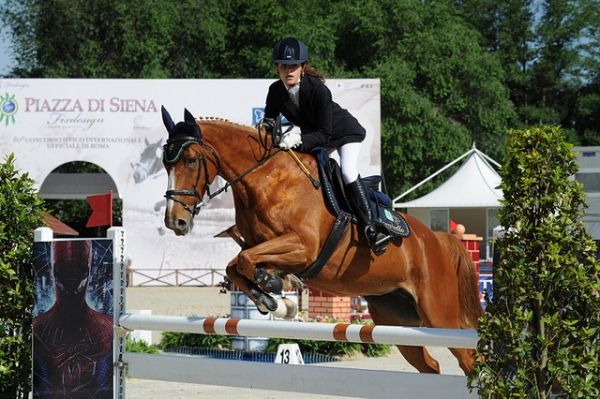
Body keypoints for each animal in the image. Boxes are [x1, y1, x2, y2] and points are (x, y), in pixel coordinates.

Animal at [161, 108, 482, 376]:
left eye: (191, 160)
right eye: (166, 164)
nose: (175, 221)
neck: (265, 179)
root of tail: (437, 239)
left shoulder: (304, 247)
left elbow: (245, 261)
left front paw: (276, 290)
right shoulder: (257, 245)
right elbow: (236, 266)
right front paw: (274, 299)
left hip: (439, 315)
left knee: (468, 359)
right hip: (396, 320)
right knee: (430, 365)